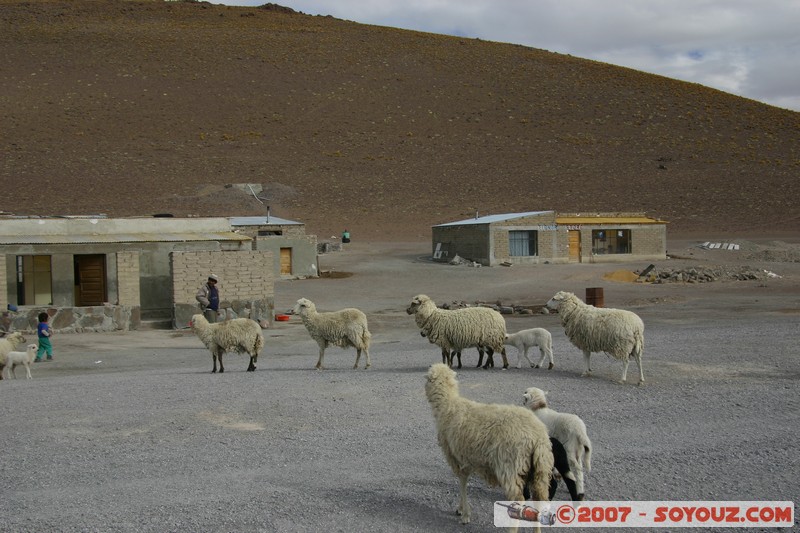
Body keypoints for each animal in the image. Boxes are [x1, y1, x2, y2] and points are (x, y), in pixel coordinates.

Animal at [424, 362, 556, 524]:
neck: (449, 404)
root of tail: (537, 436)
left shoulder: (456, 457)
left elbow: (462, 482)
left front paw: (464, 513)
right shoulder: (465, 458)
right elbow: (463, 481)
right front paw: (462, 509)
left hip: (511, 467)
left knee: (519, 499)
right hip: (540, 469)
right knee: (540, 499)